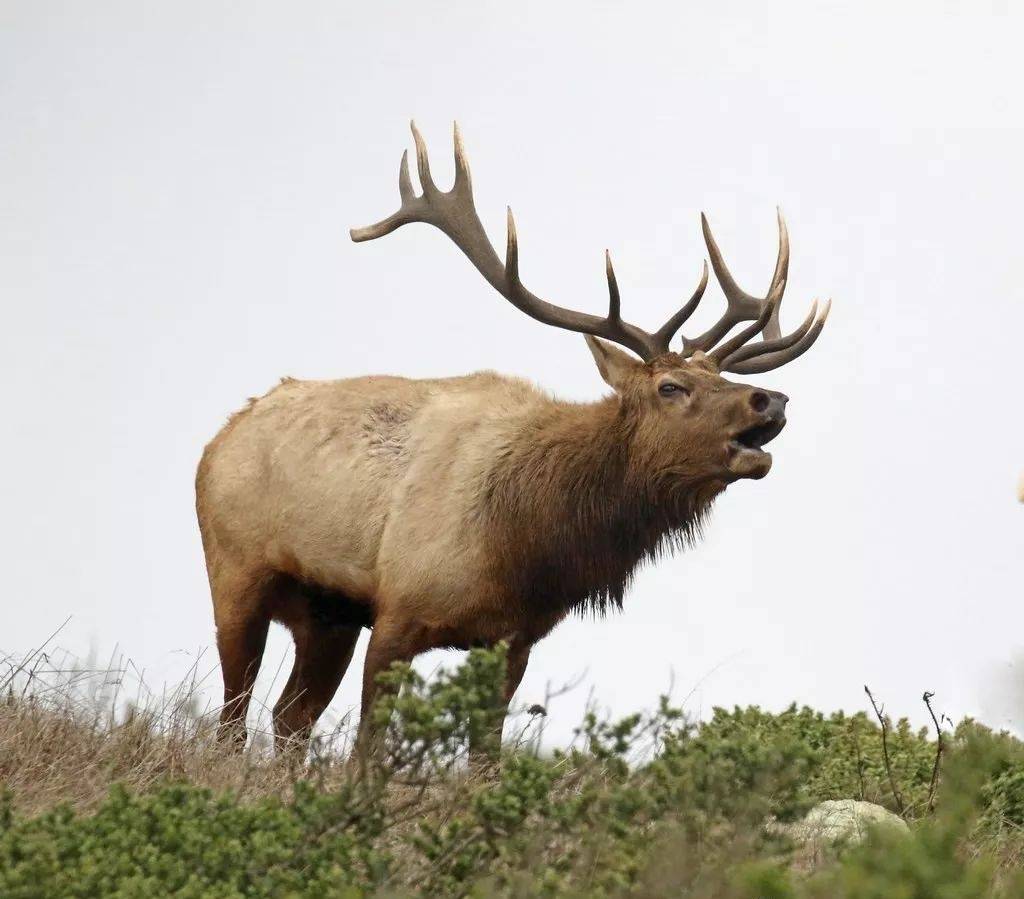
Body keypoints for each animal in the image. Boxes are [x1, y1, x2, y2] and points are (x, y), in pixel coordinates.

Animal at [193, 119, 831, 753]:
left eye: (720, 377)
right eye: (670, 387)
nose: (770, 399)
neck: (524, 543)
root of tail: (218, 439)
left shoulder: (513, 642)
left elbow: (487, 760)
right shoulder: (399, 610)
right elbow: (368, 752)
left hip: (328, 614)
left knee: (289, 719)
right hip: (236, 572)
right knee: (232, 718)